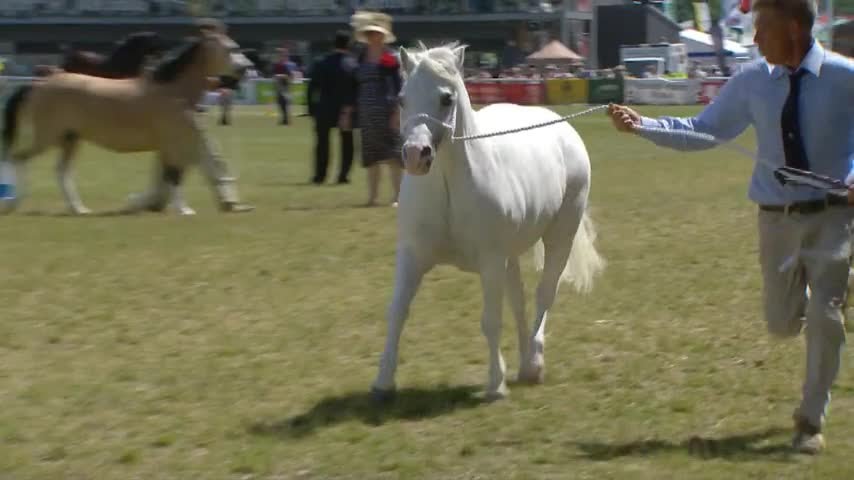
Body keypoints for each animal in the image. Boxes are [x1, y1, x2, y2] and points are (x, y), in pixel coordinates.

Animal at [0, 30, 252, 215]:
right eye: (231, 49)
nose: (246, 69)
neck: (172, 91)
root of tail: (40, 83)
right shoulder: (174, 143)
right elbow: (174, 174)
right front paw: (184, 210)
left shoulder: (175, 144)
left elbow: (174, 173)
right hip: (48, 137)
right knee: (19, 158)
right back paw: (13, 203)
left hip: (69, 138)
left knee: (61, 171)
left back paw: (79, 208)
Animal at [370, 43, 606, 402]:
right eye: (401, 98)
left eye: (446, 98)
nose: (415, 155)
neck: (449, 189)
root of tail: (563, 128)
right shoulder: (412, 256)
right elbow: (397, 312)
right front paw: (383, 382)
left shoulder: (491, 261)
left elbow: (491, 320)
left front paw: (495, 384)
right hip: (511, 256)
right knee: (520, 301)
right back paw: (524, 360)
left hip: (559, 237)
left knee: (544, 294)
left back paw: (533, 364)